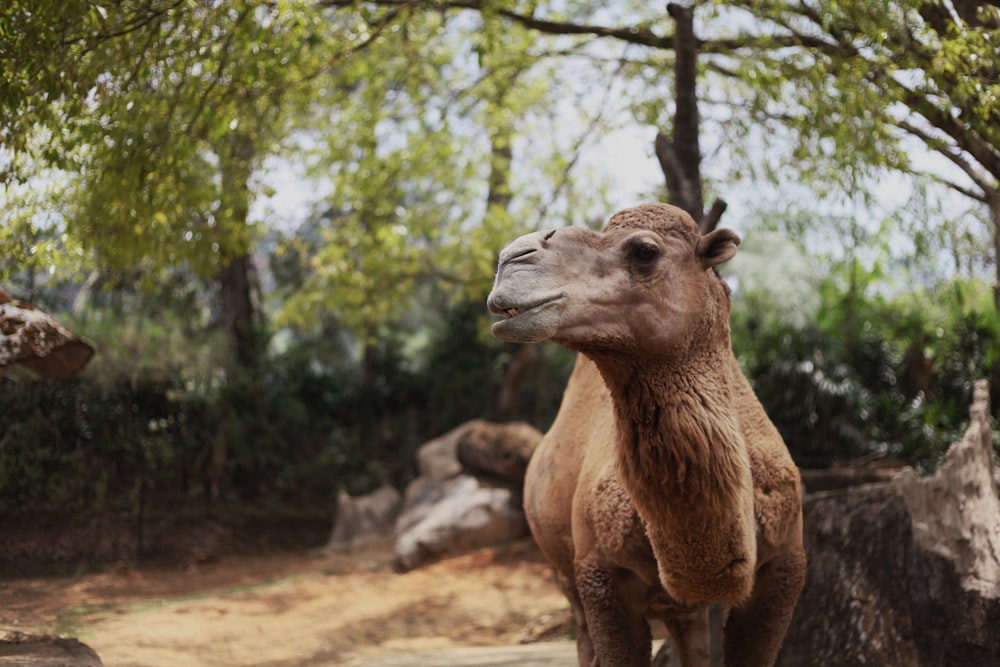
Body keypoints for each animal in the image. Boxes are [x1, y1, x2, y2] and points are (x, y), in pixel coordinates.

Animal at [484, 205, 804, 667]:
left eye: (645, 251)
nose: (513, 256)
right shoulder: (599, 576)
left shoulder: (785, 568)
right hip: (565, 576)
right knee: (584, 636)